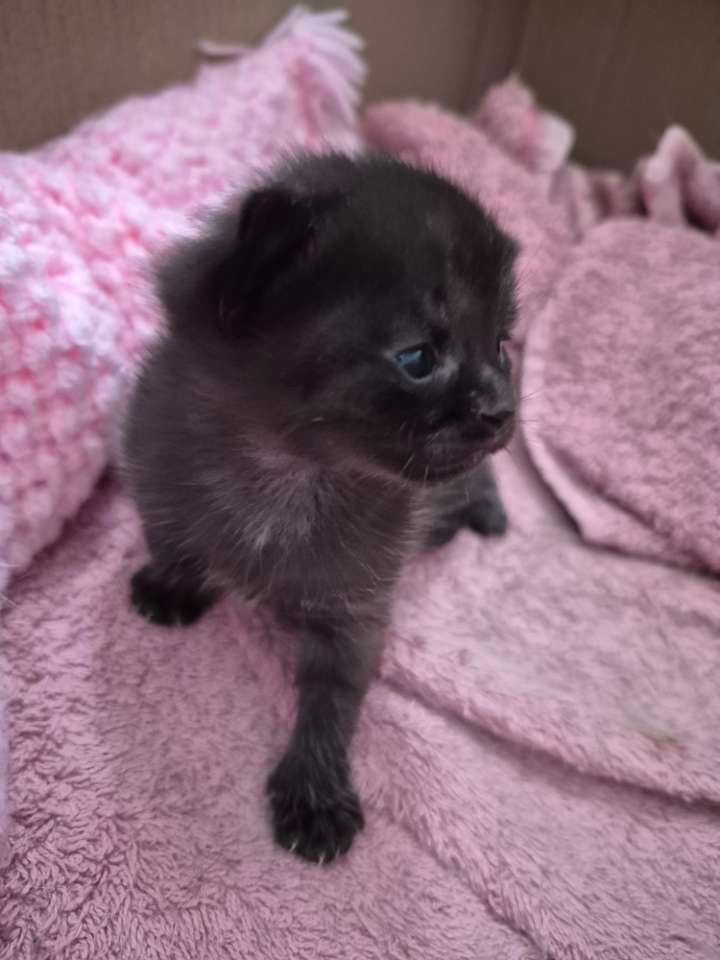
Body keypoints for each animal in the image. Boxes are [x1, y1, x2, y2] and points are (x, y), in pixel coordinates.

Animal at [123, 152, 517, 864]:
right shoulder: (151, 469)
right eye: (418, 358)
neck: (287, 476)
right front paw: (170, 585)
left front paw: (314, 793)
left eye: (501, 344)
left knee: (481, 479)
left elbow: (332, 701)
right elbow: (170, 535)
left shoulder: (355, 610)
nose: (503, 408)